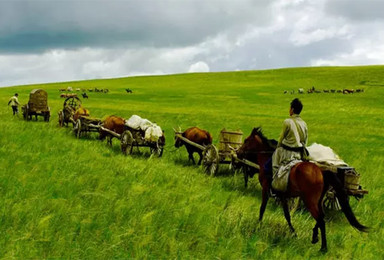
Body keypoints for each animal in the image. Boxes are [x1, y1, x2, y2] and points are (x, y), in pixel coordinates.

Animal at [236, 127, 368, 253]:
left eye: (246, 140)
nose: (238, 152)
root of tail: (321, 171)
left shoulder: (266, 189)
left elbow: (262, 209)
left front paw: (258, 226)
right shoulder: (283, 195)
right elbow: (287, 215)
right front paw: (293, 233)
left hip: (309, 201)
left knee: (321, 219)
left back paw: (323, 248)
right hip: (317, 201)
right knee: (322, 216)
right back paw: (315, 237)